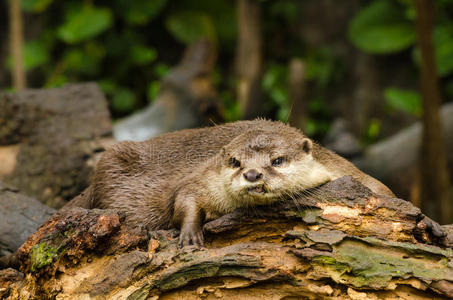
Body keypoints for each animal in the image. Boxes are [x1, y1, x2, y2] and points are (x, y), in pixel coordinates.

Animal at [65, 119, 394, 246]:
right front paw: (191, 234)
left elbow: (376, 186)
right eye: (235, 162)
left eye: (277, 160)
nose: (252, 174)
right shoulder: (203, 177)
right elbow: (185, 196)